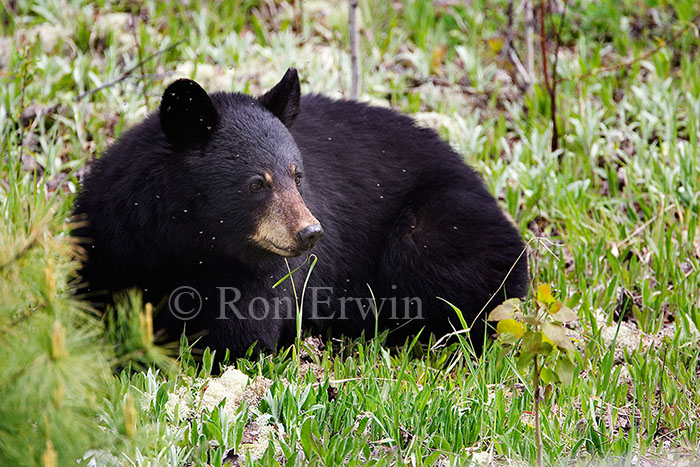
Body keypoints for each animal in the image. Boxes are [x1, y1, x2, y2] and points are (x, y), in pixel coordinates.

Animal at [73, 68, 528, 361]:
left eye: (297, 174)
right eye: (256, 183)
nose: (311, 233)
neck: (187, 244)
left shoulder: (261, 278)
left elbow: (240, 337)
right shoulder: (109, 237)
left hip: (438, 226)